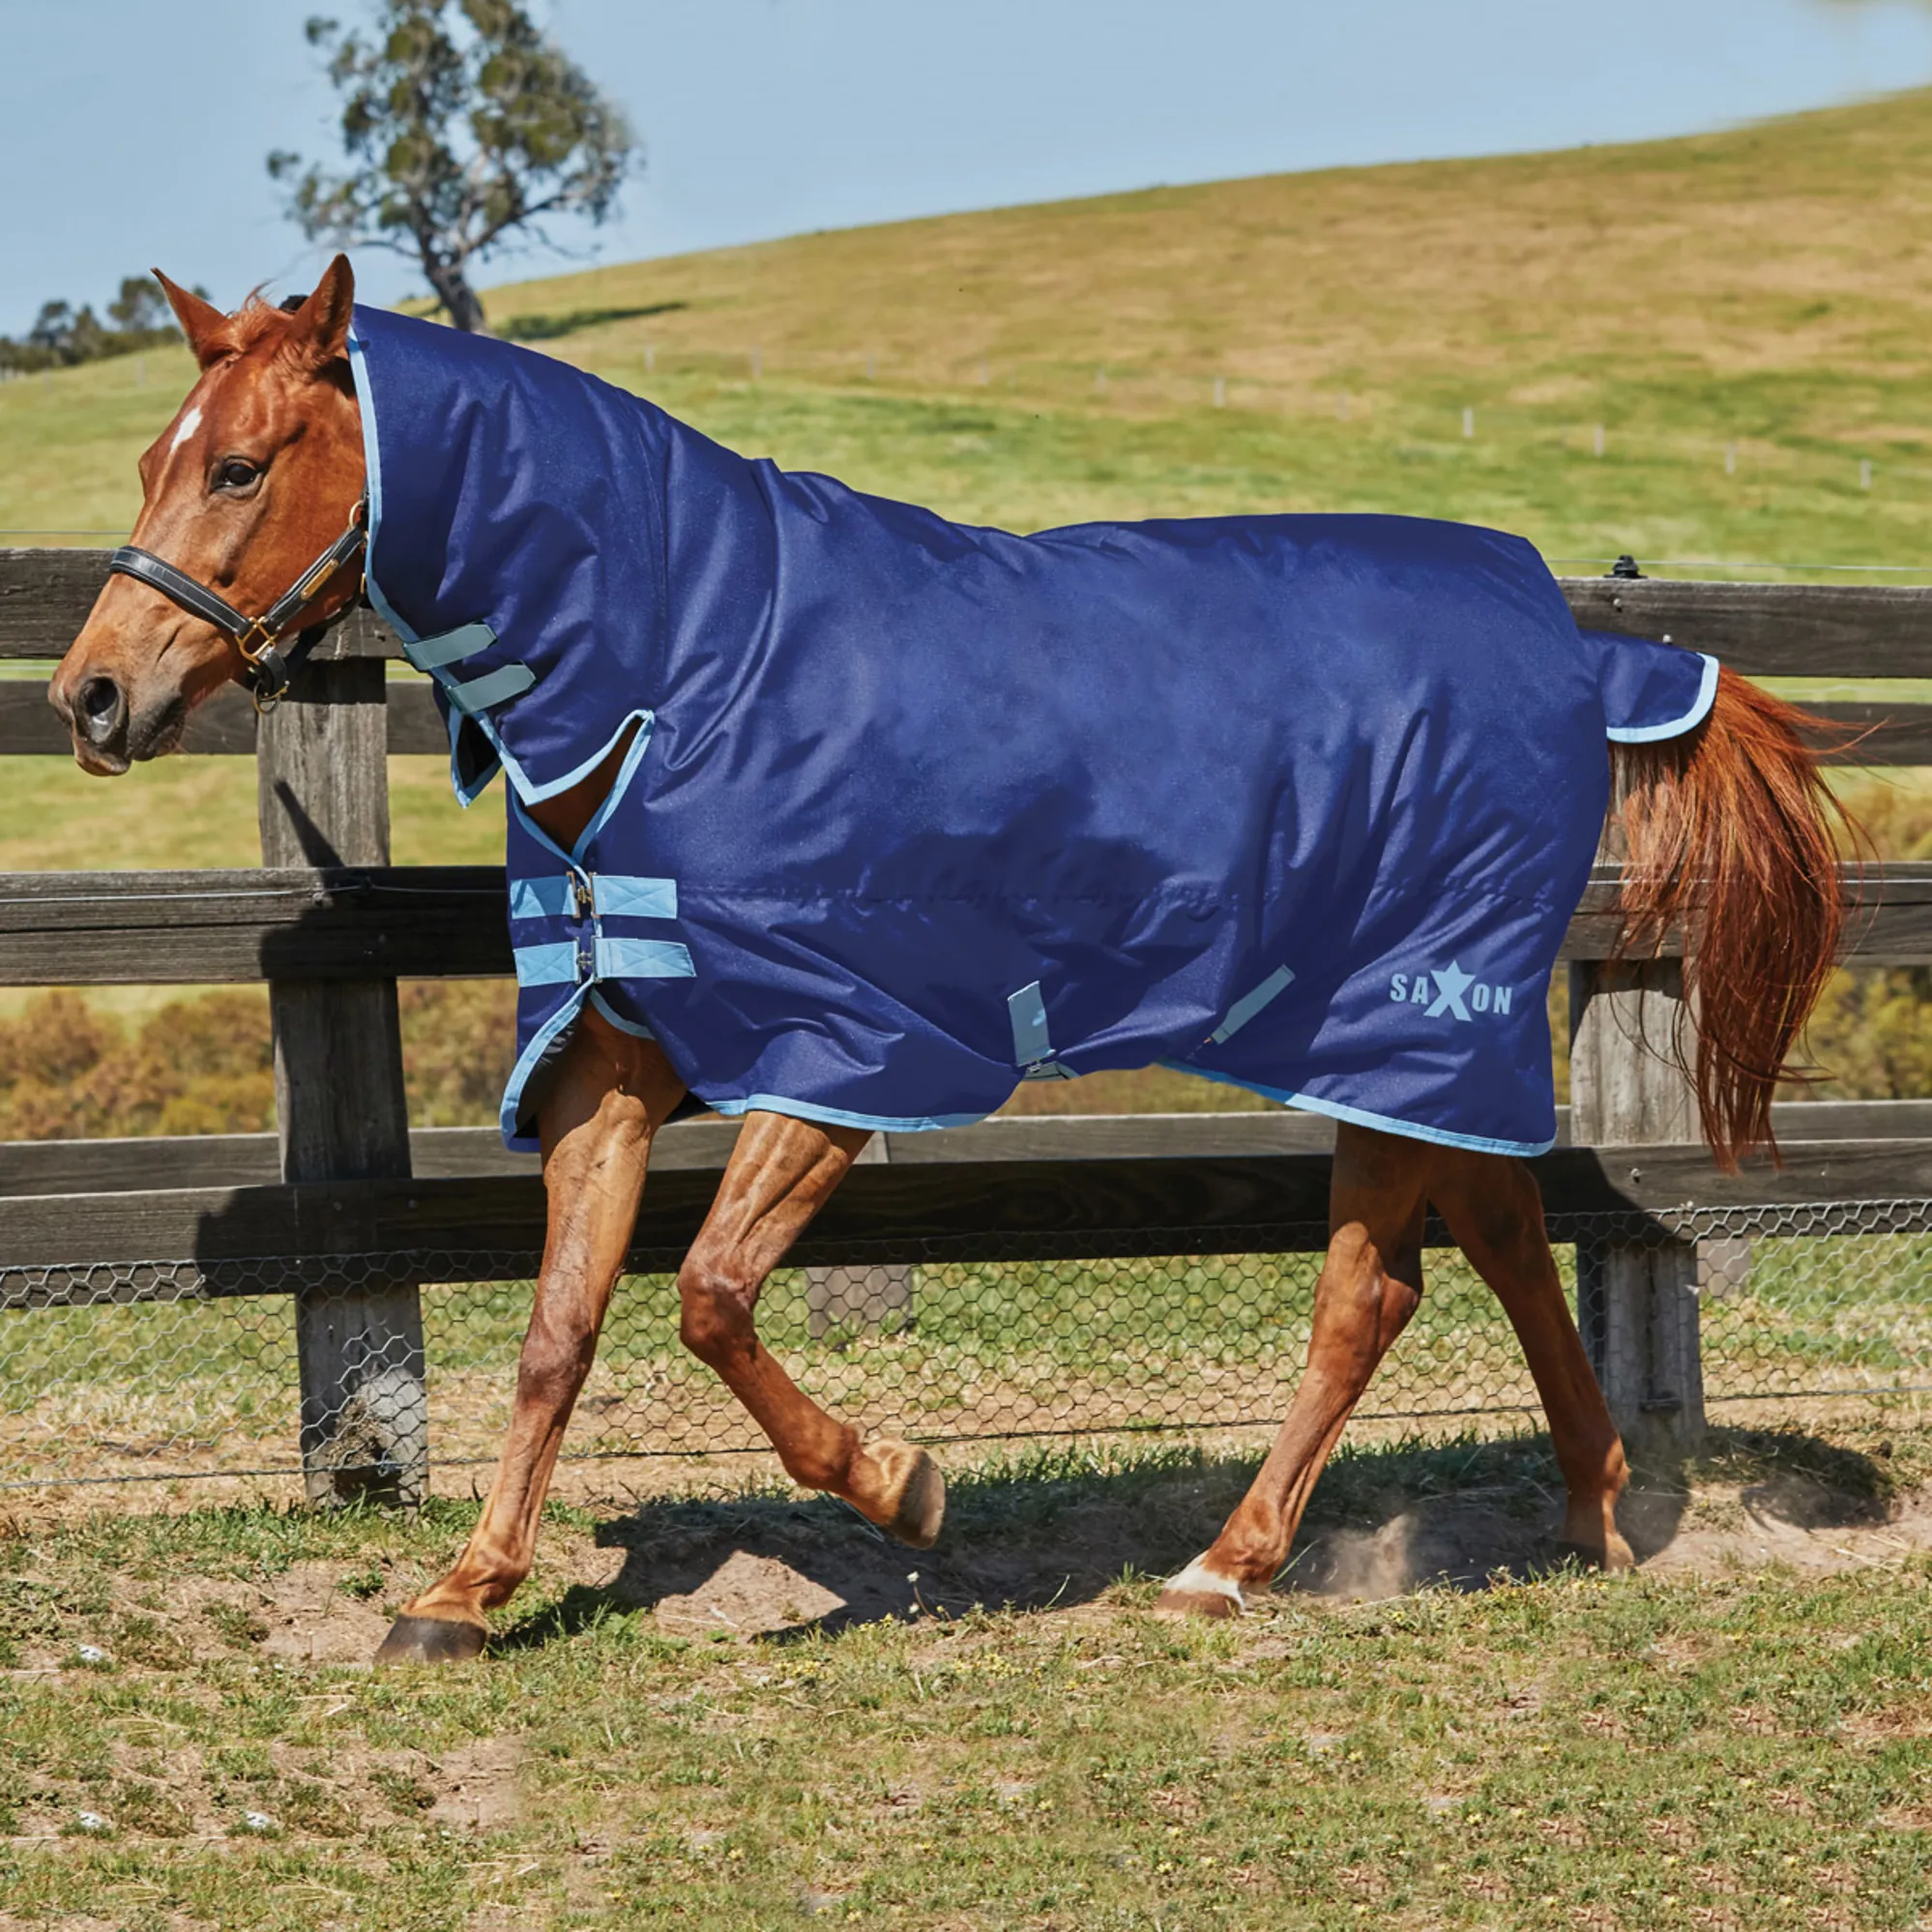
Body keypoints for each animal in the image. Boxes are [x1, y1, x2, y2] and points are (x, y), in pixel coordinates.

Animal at [50, 256, 1850, 1659]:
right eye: (149, 453)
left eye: (239, 466)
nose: (91, 696)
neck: (683, 669)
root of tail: (1576, 649)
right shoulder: (608, 1058)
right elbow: (558, 1331)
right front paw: (462, 1589)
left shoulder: (843, 1055)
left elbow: (710, 1298)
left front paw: (901, 1488)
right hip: (1395, 1038)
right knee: (1497, 1232)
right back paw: (1597, 1515)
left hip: (1402, 1012)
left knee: (1369, 1290)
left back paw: (1226, 1564)